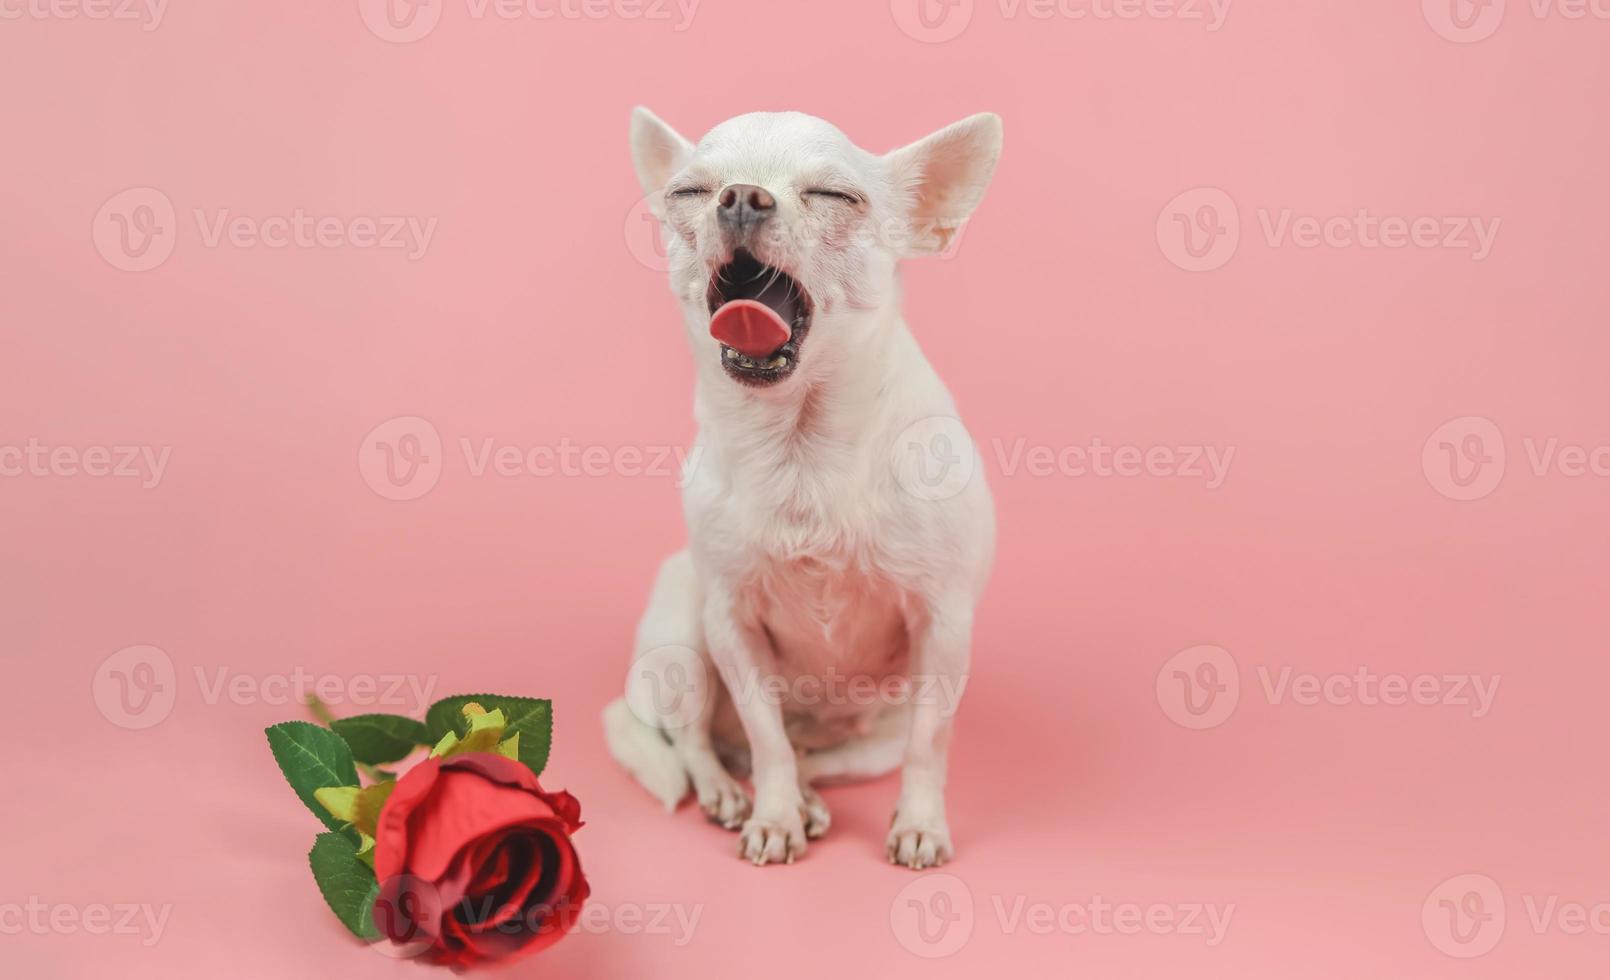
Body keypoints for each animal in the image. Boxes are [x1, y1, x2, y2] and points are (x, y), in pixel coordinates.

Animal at [605, 107, 998, 868]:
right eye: (690, 192)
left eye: (834, 196)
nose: (741, 197)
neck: (800, 448)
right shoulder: (732, 627)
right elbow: (766, 737)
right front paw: (775, 815)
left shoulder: (944, 629)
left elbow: (929, 748)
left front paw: (919, 823)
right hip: (683, 641)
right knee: (701, 742)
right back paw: (729, 792)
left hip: (875, 735)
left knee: (818, 754)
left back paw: (810, 796)